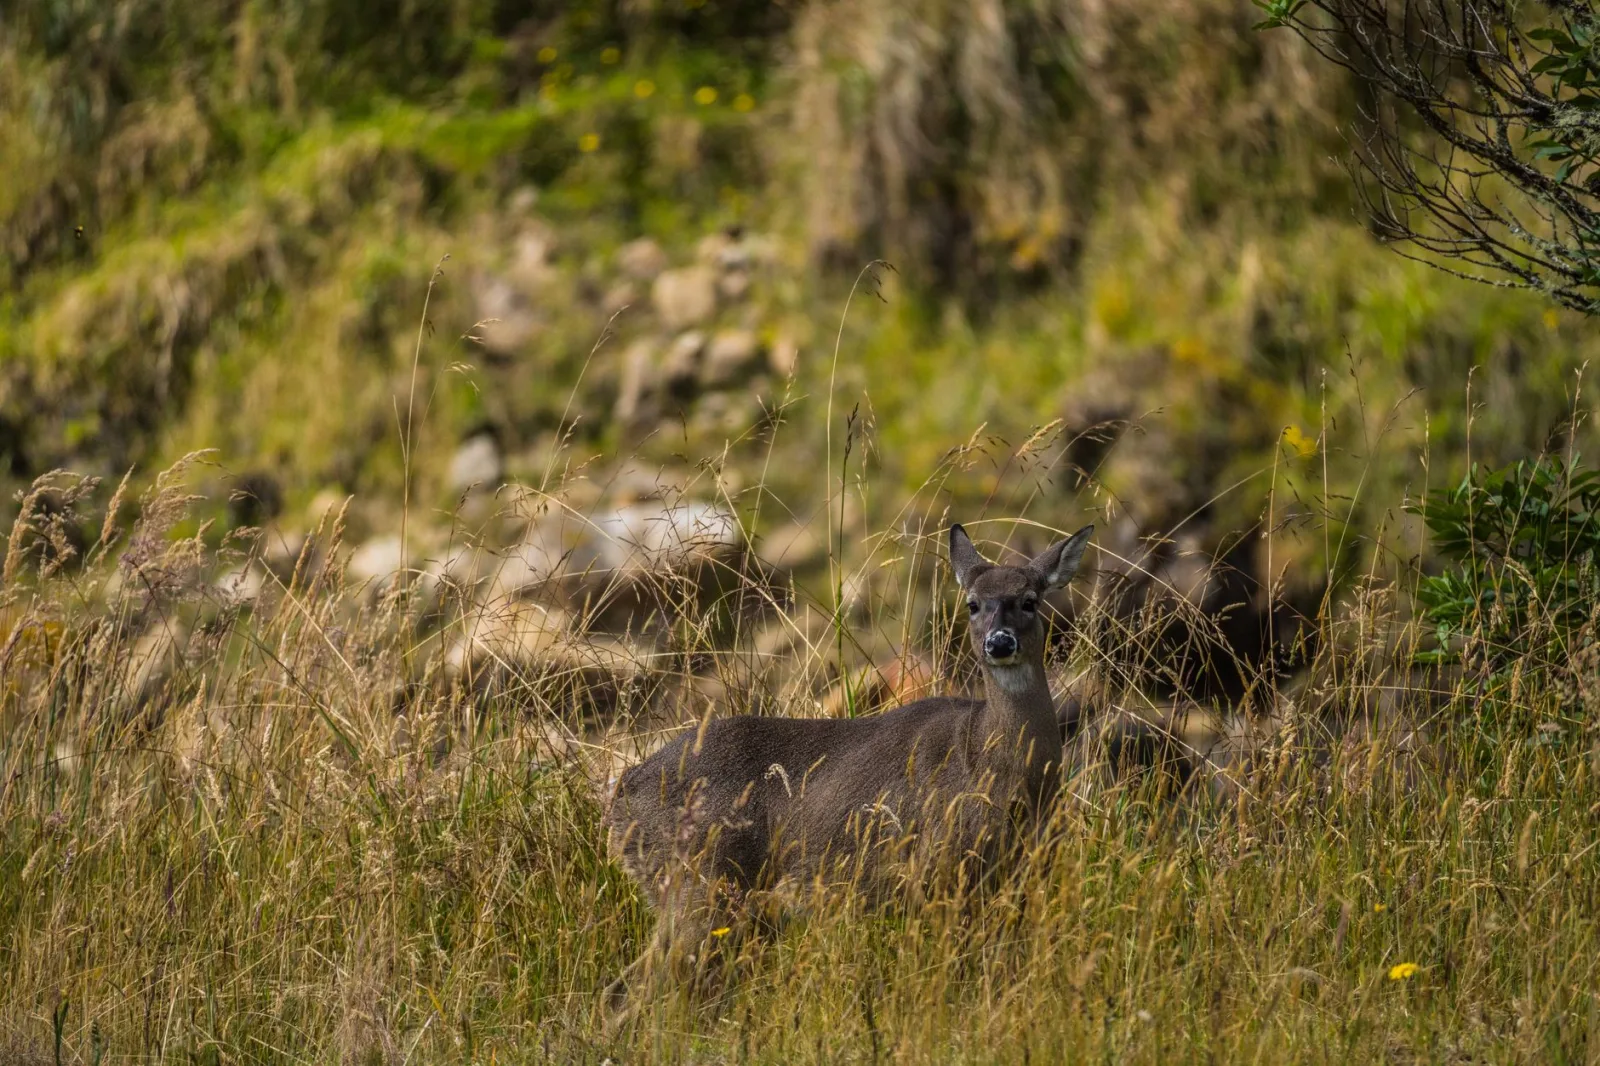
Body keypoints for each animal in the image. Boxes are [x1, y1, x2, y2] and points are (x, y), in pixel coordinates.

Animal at [601, 522, 1095, 1018]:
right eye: (972, 603)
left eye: (1030, 600)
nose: (1000, 642)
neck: (991, 763)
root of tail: (623, 795)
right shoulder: (937, 869)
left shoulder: (1016, 879)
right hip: (700, 882)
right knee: (633, 988)